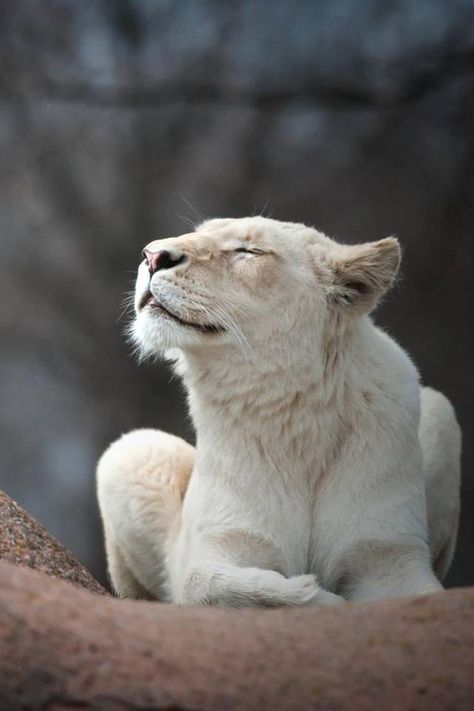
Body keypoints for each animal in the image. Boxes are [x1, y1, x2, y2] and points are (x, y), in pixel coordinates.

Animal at [94, 217, 462, 608]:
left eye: (249, 251)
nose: (152, 256)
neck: (295, 413)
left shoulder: (388, 555)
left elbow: (429, 598)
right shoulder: (223, 545)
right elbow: (210, 587)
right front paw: (318, 595)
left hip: (441, 413)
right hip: (133, 449)